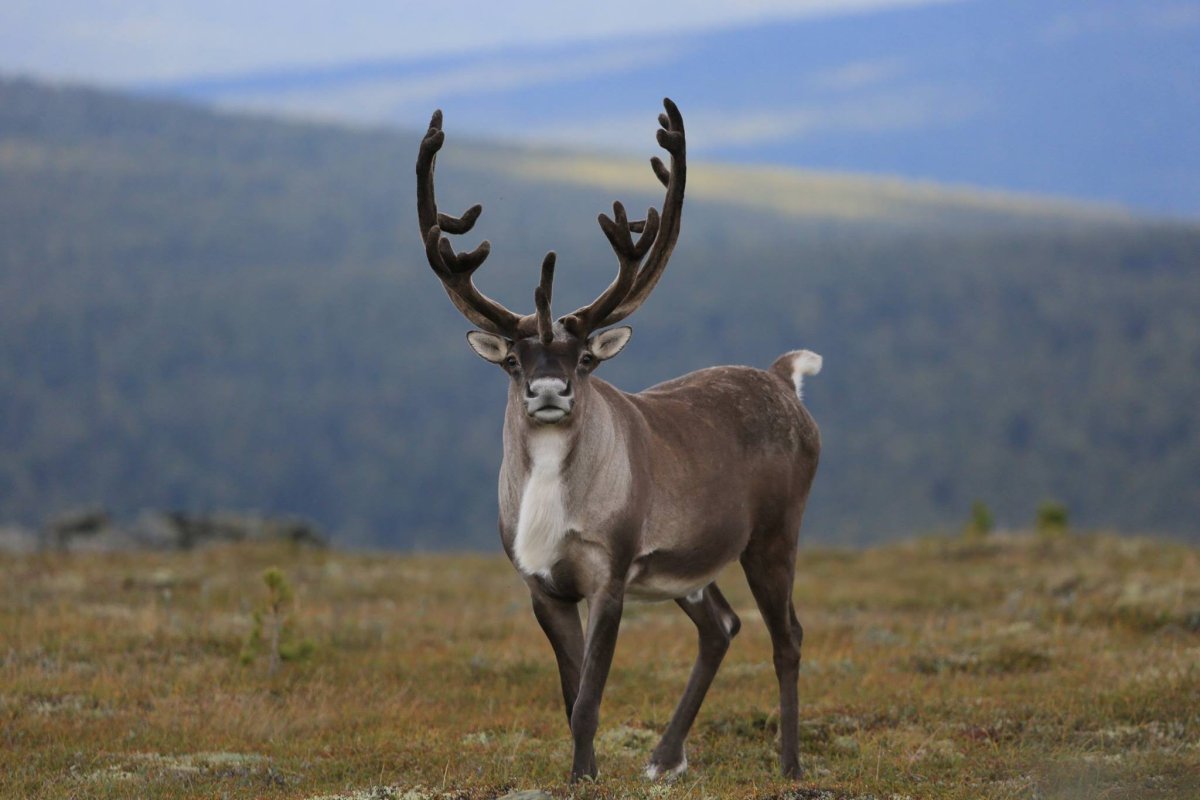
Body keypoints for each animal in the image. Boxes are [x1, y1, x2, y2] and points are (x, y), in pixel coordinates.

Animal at [415, 98, 822, 782]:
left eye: (583, 359)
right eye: (513, 362)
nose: (548, 389)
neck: (550, 499)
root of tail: (782, 378)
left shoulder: (610, 576)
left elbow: (589, 696)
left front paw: (583, 776)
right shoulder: (541, 586)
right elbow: (571, 691)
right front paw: (587, 770)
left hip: (772, 532)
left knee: (786, 634)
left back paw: (789, 767)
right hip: (686, 567)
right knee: (722, 625)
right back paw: (663, 757)